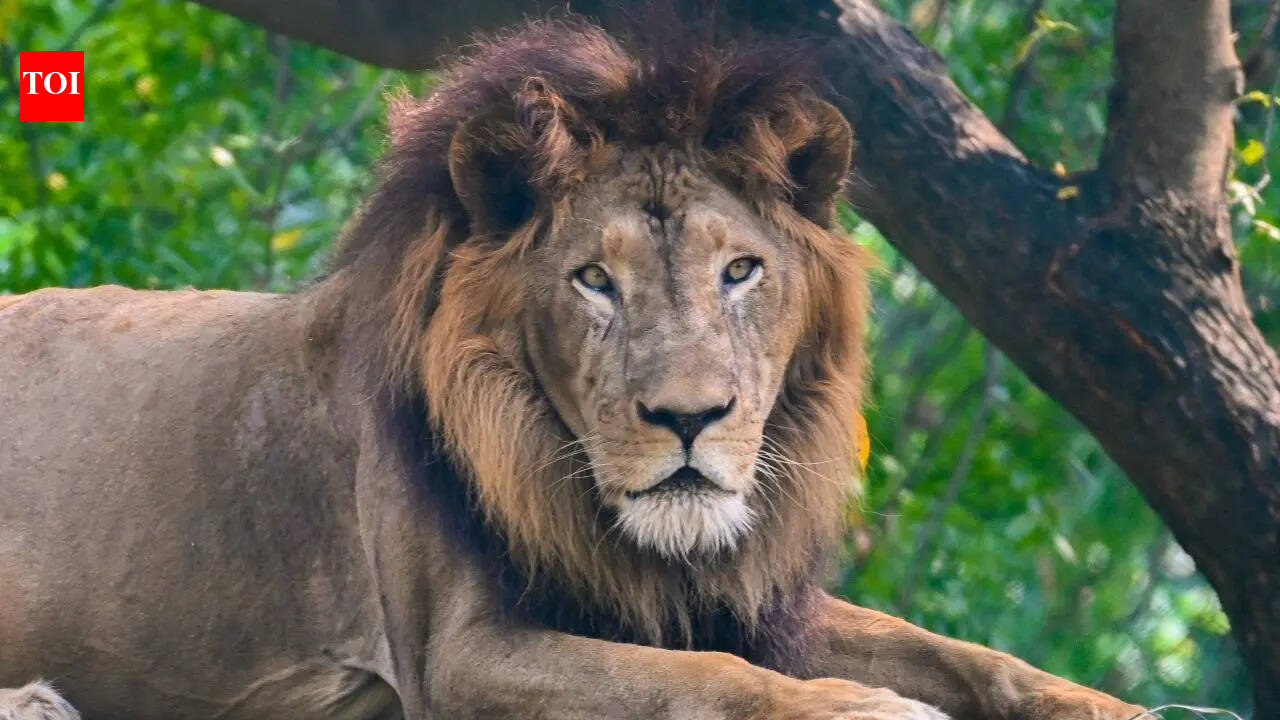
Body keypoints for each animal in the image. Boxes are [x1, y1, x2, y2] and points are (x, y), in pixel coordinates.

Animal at [0, 16, 1145, 720]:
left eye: (740, 270)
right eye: (595, 280)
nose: (689, 418)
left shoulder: (743, 600)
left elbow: (959, 652)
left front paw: (1110, 706)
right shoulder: (455, 657)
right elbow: (705, 680)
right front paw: (864, 708)